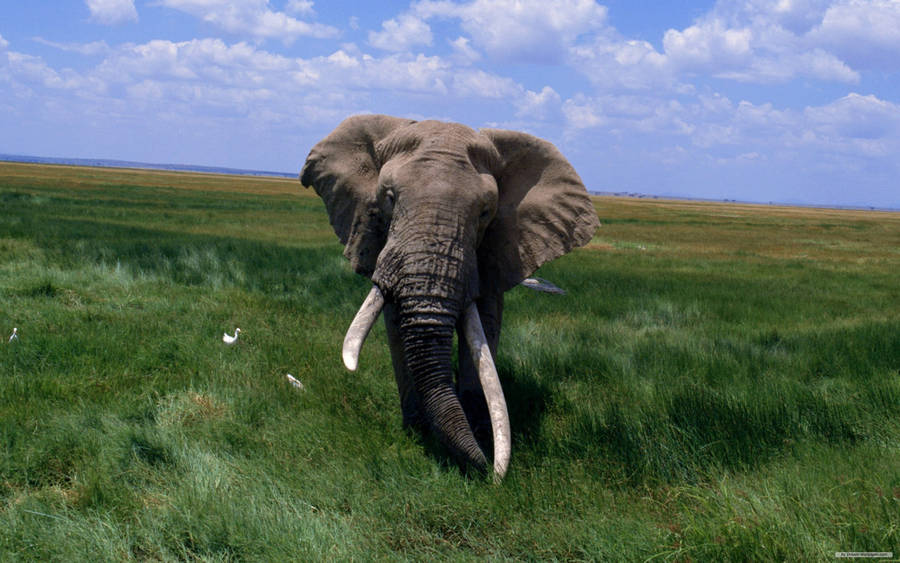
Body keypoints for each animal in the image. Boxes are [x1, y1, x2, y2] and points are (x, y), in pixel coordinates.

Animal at [300, 114, 598, 480]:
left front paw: (480, 430)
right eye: (389, 198)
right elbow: (395, 324)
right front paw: (418, 432)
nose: (489, 472)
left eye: (485, 212)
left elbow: (485, 326)